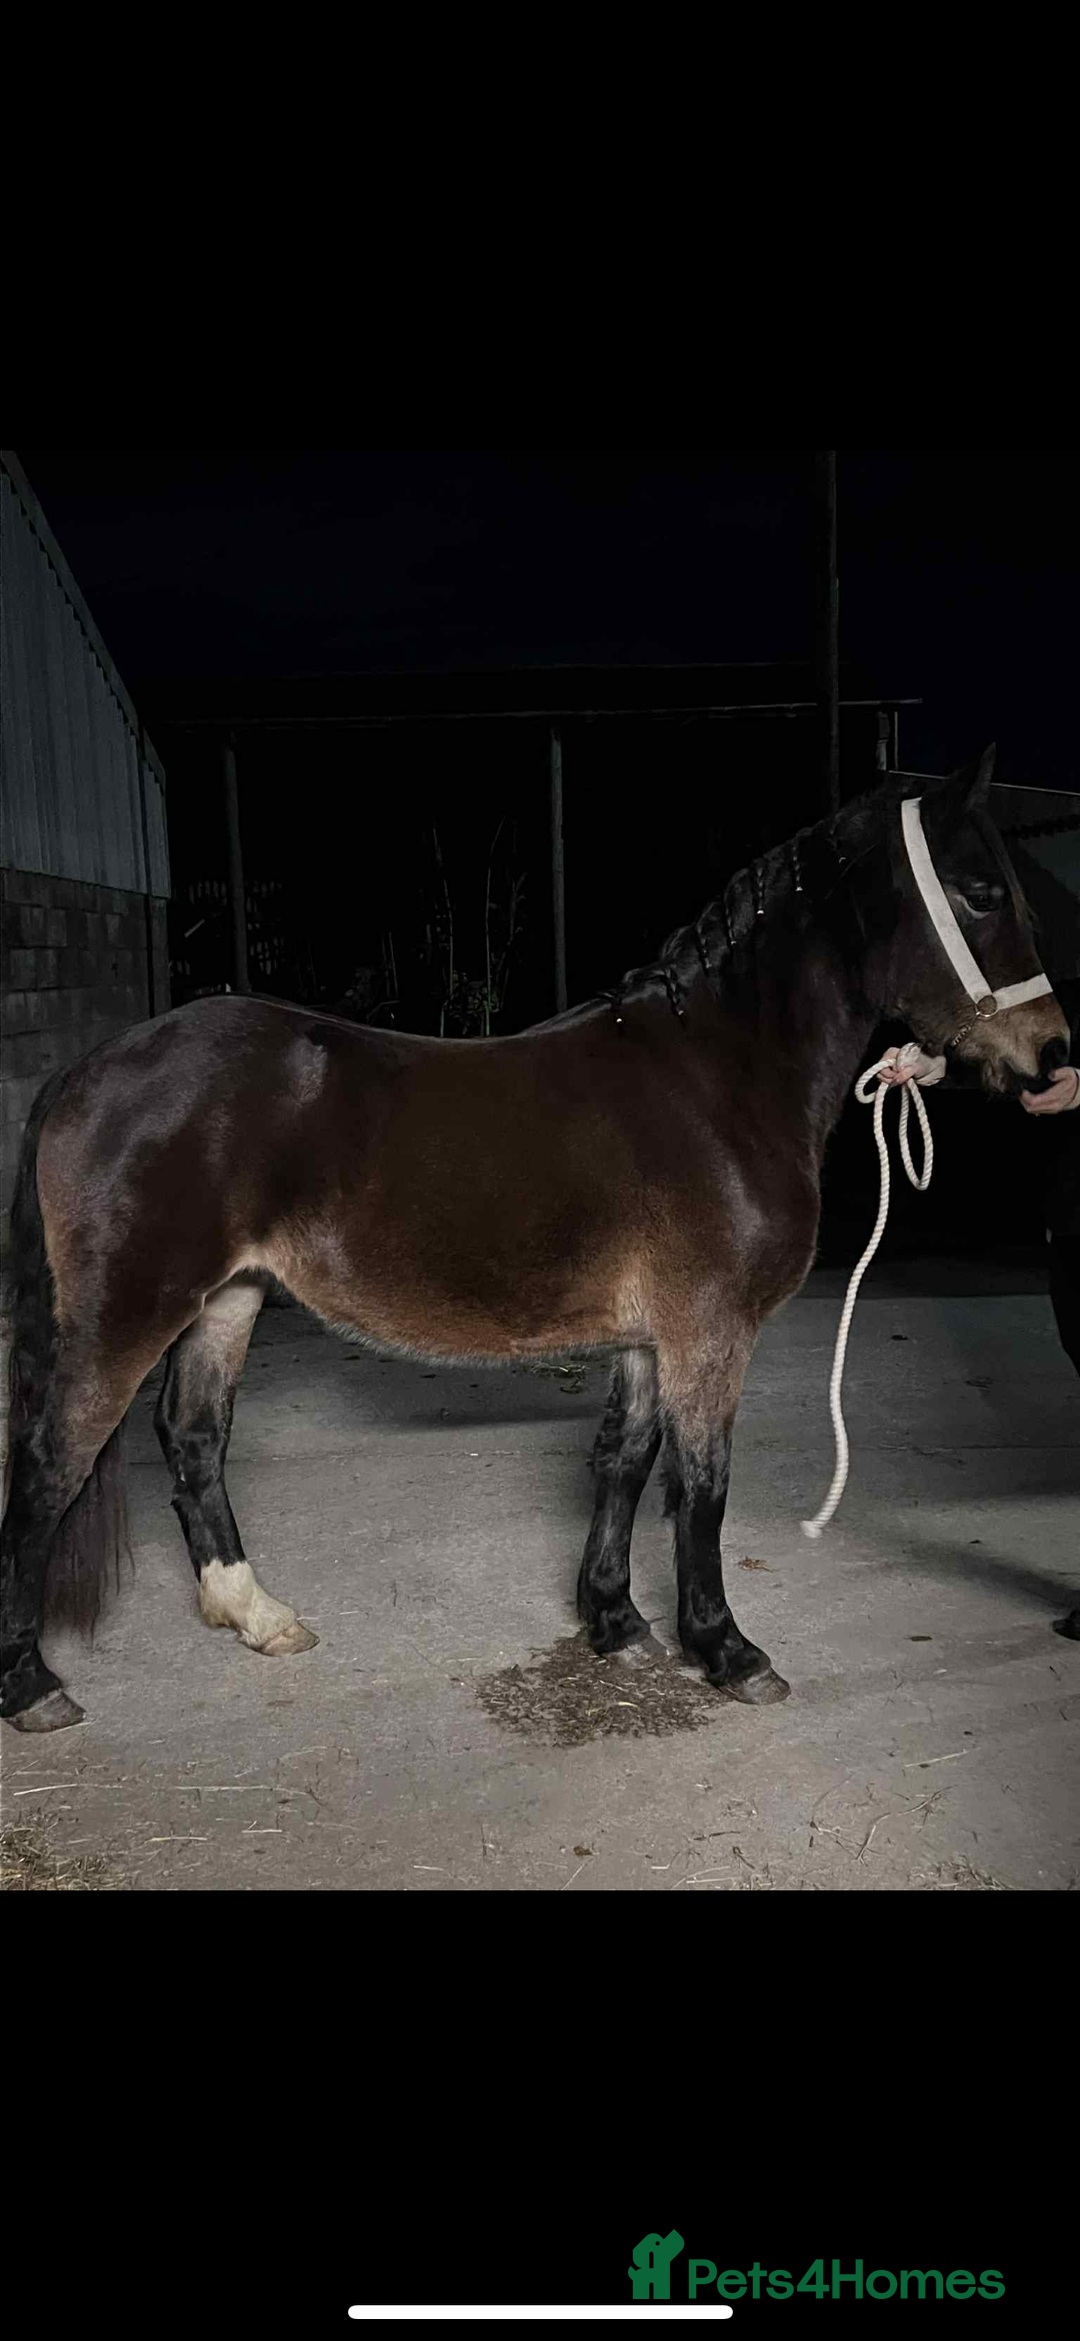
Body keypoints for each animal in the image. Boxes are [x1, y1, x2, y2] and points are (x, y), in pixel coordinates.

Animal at [1, 748, 1069, 1732]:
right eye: (981, 893)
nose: (1052, 1056)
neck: (718, 1078)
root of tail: (85, 1071)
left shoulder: (649, 1338)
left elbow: (625, 1460)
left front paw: (616, 1622)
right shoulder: (710, 1331)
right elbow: (703, 1484)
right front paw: (726, 1649)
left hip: (228, 1297)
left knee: (192, 1438)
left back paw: (257, 1615)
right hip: (131, 1311)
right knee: (52, 1462)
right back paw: (32, 1686)